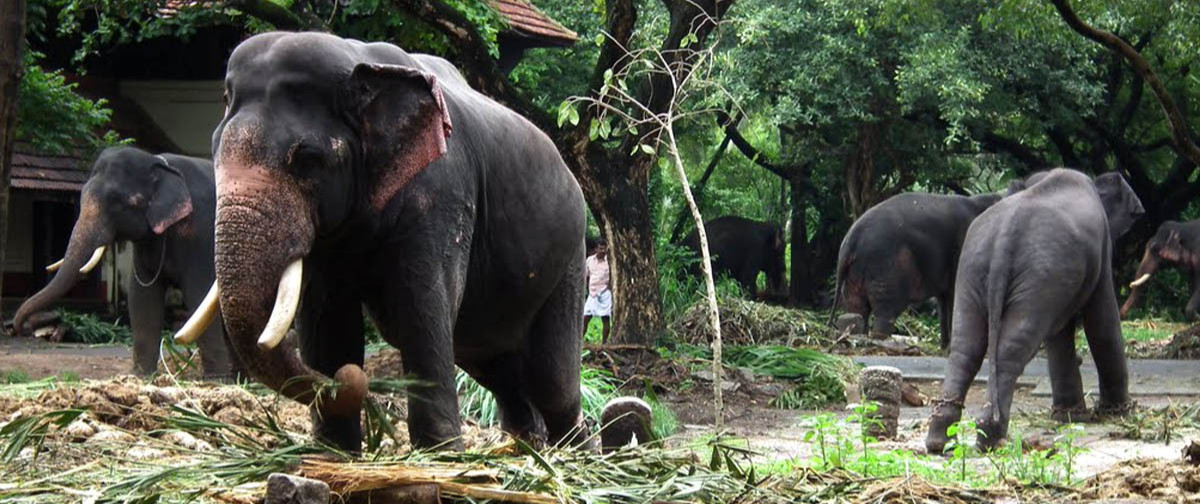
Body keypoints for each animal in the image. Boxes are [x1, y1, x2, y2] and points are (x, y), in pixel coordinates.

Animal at [11, 145, 236, 379]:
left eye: (120, 203)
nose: (22, 328)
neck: (158, 164)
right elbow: (141, 296)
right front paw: (141, 376)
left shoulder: (200, 236)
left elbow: (198, 293)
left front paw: (215, 380)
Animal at [175, 32, 590, 453]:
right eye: (214, 150)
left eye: (307, 159)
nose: (349, 377)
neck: (361, 63)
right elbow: (327, 315)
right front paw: (335, 452)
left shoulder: (441, 191)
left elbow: (421, 303)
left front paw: (441, 454)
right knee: (495, 366)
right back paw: (526, 448)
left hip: (571, 257)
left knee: (551, 379)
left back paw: (574, 453)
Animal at [830, 189, 998, 345]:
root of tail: (850, 239)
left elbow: (945, 299)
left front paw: (945, 347)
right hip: (886, 269)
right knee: (885, 312)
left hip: (856, 274)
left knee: (857, 310)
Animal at [926, 169, 1142, 453]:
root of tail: (1005, 235)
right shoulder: (1101, 248)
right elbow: (1101, 322)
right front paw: (1118, 413)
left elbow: (1060, 335)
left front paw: (1069, 417)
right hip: (1036, 273)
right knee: (1012, 349)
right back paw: (992, 438)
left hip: (978, 269)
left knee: (966, 347)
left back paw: (941, 442)